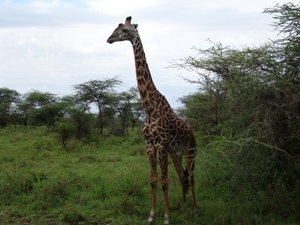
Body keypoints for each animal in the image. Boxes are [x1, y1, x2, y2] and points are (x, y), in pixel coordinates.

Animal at [106, 16, 198, 225]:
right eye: (116, 28)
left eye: (125, 30)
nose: (109, 39)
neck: (148, 108)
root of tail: (192, 131)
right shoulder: (150, 145)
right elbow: (153, 181)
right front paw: (151, 216)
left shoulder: (161, 145)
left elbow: (164, 182)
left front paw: (166, 218)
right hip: (176, 153)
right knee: (182, 175)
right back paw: (183, 204)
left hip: (191, 150)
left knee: (192, 176)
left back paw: (196, 208)